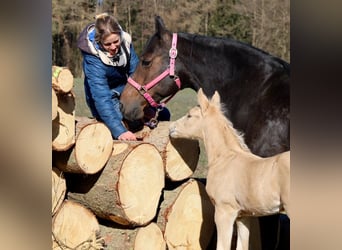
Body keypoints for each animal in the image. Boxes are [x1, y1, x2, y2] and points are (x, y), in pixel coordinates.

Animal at [168, 89, 288, 249]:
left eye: (189, 115)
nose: (171, 128)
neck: (225, 158)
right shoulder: (244, 216)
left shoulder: (224, 212)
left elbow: (222, 246)